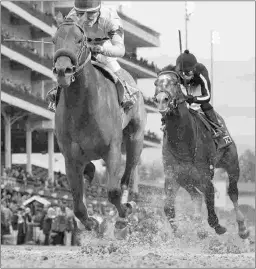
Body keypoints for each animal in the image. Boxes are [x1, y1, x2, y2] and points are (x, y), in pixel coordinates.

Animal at [51, 14, 146, 232]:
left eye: (80, 40)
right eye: (54, 40)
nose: (63, 70)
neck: (83, 106)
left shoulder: (112, 149)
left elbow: (113, 191)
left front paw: (124, 212)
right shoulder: (71, 157)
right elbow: (77, 204)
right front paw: (92, 222)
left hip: (135, 137)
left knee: (129, 173)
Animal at [153, 69, 249, 239]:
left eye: (175, 83)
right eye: (156, 83)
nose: (162, 100)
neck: (183, 143)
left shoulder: (205, 174)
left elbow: (210, 196)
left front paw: (217, 226)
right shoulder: (173, 176)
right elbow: (168, 208)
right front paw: (179, 232)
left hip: (231, 163)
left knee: (232, 192)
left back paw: (242, 228)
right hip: (187, 179)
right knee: (196, 196)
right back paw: (199, 227)